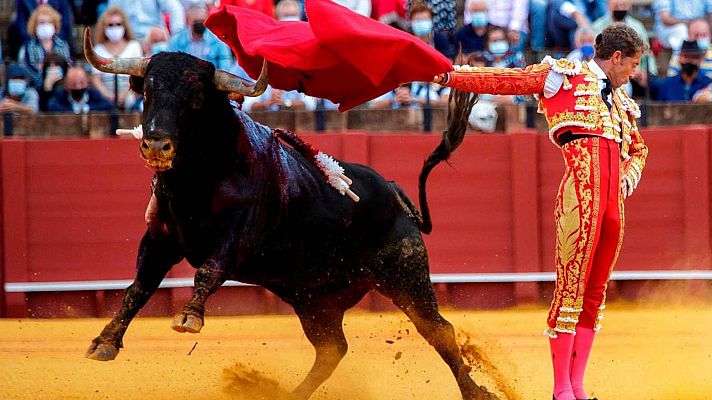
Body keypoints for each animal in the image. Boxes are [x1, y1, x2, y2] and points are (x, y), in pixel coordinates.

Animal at [80, 28, 496, 400]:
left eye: (196, 97)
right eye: (147, 91)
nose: (156, 145)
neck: (195, 183)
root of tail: (392, 192)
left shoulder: (238, 235)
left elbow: (209, 269)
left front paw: (189, 317)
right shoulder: (160, 238)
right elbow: (139, 287)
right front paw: (105, 342)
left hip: (404, 274)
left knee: (438, 330)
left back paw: (477, 392)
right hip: (314, 300)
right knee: (331, 350)